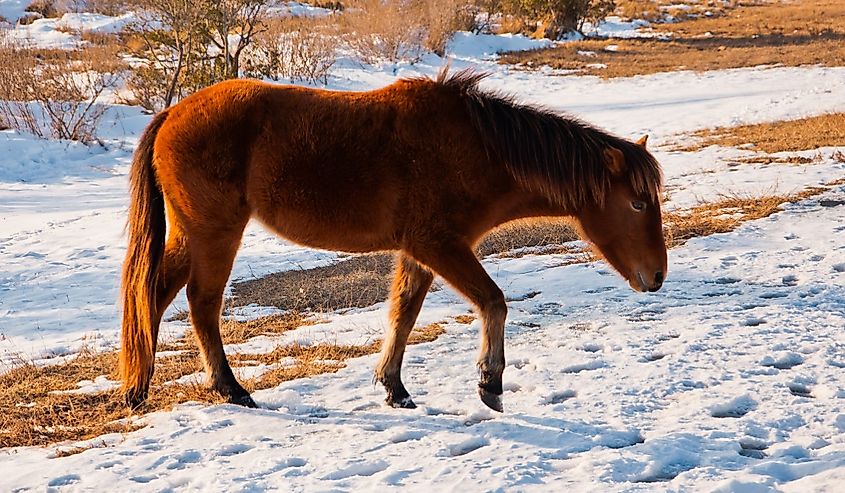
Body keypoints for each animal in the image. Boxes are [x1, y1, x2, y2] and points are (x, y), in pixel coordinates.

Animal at [120, 68, 666, 412]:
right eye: (638, 204)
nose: (657, 276)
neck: (476, 148)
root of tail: (171, 115)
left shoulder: (419, 252)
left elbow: (403, 314)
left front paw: (395, 387)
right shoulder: (439, 246)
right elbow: (493, 301)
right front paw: (490, 382)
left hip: (193, 236)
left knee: (154, 295)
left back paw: (138, 387)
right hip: (215, 233)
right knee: (201, 303)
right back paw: (230, 389)